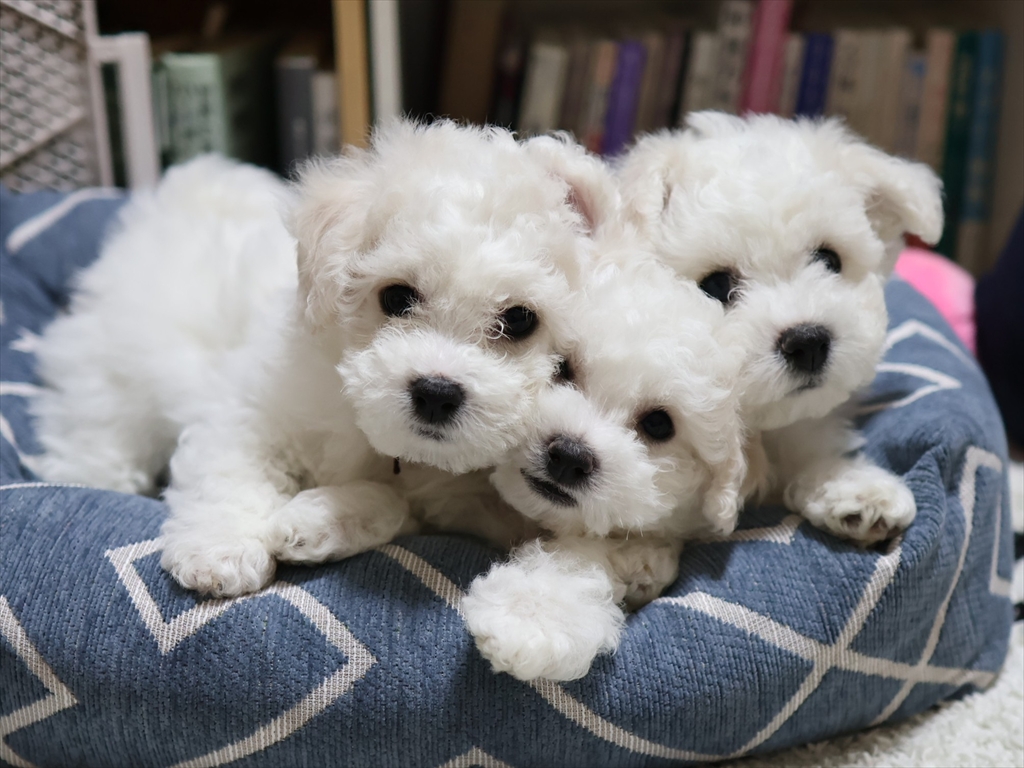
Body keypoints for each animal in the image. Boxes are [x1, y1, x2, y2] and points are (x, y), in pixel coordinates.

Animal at [32, 121, 620, 597]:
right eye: (396, 297)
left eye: (519, 320)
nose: (436, 392)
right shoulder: (246, 409)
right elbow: (228, 472)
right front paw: (220, 552)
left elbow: (397, 505)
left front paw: (313, 523)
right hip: (114, 363)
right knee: (100, 425)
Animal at [463, 247, 748, 681]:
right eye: (562, 368)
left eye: (658, 424)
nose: (569, 456)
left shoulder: (650, 544)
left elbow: (585, 555)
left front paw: (531, 616)